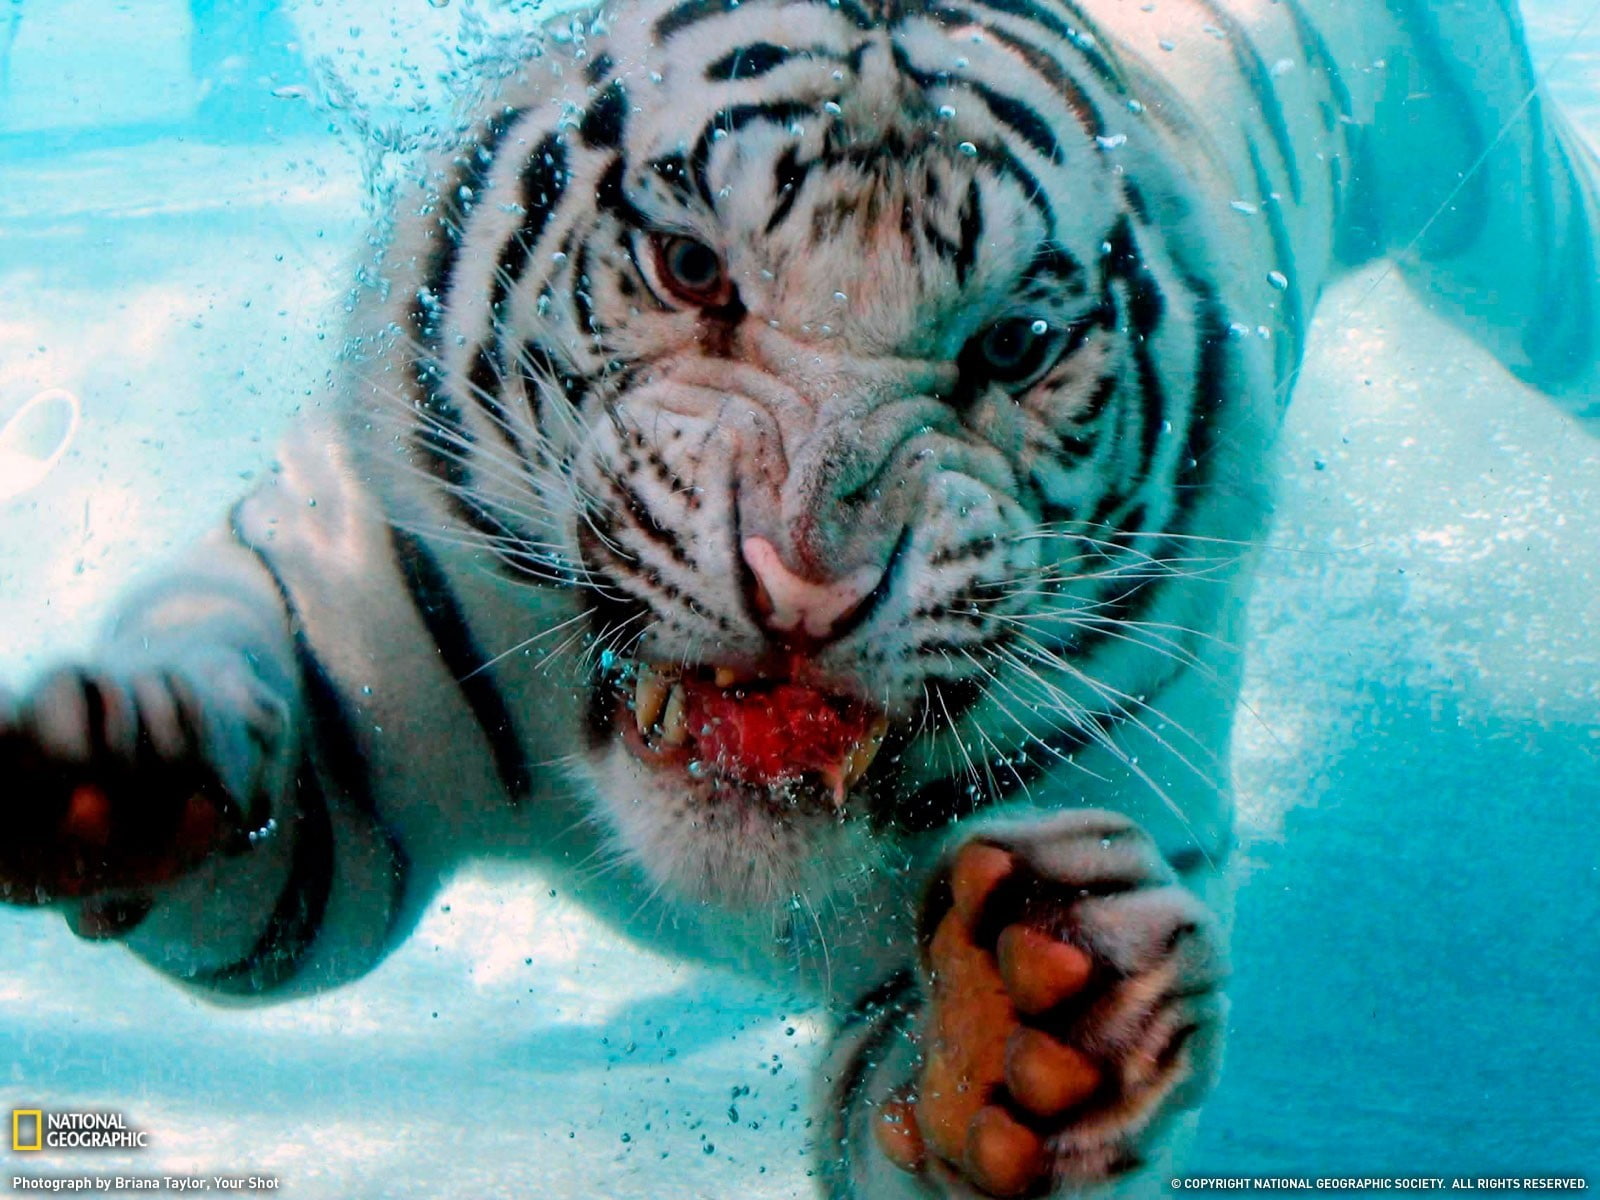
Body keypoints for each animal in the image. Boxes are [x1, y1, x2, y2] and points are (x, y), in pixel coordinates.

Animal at [2, 0, 1596, 1195]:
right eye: (687, 265)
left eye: (1013, 346)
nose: (808, 577)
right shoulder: (354, 650)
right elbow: (251, 791)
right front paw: (118, 766)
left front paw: (1035, 1033)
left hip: (1501, 205)